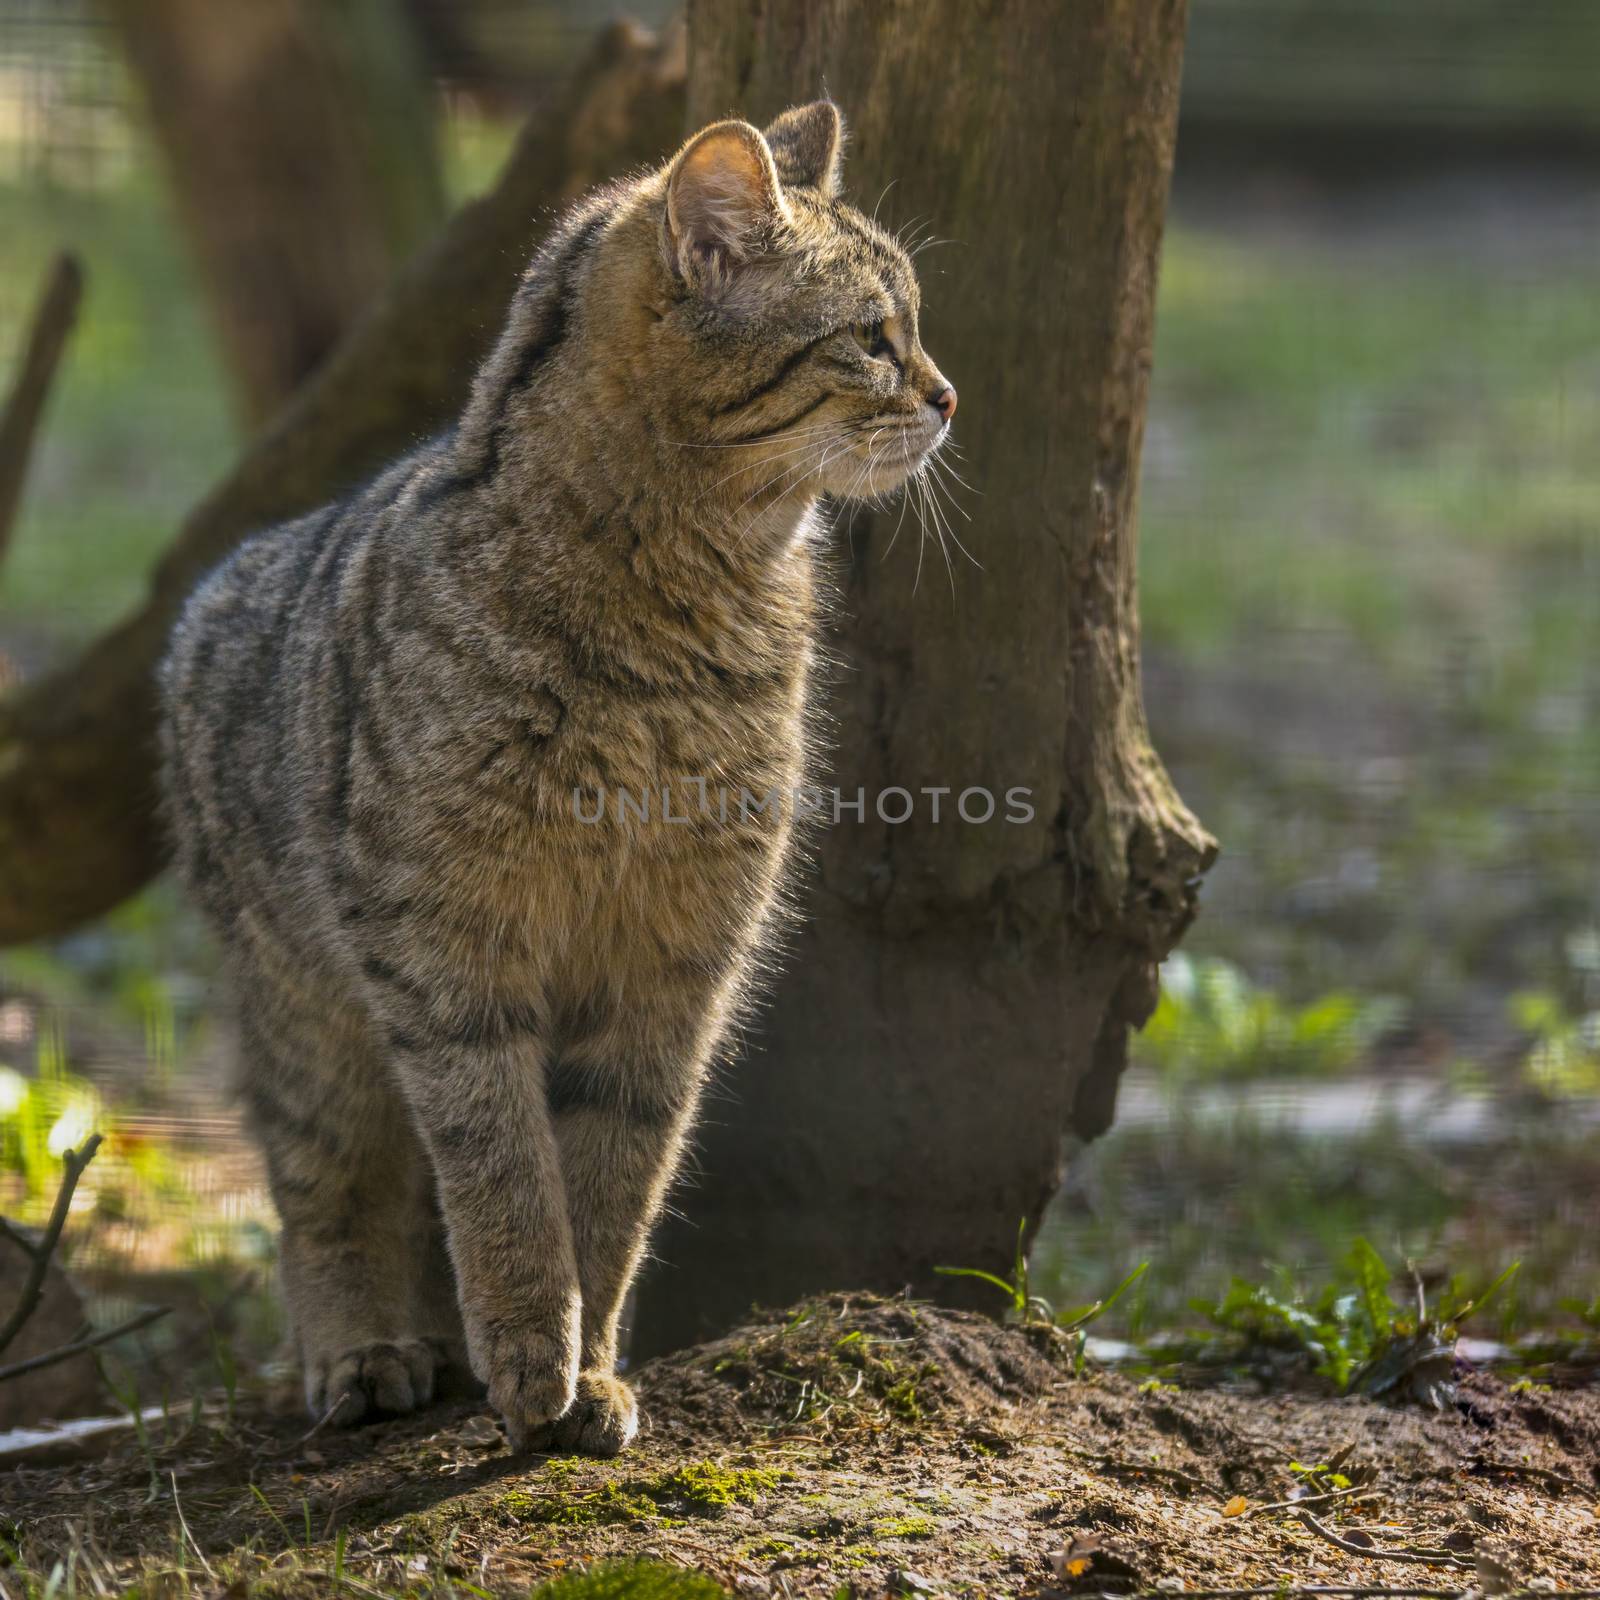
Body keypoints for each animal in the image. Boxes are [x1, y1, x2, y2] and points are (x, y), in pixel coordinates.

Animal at [162, 96, 953, 1452]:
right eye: (870, 338)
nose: (951, 396)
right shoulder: (443, 951)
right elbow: (503, 1173)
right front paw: (534, 1346)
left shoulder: (677, 963)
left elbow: (613, 1180)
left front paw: (590, 1370)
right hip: (307, 1011)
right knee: (326, 1185)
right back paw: (362, 1348)